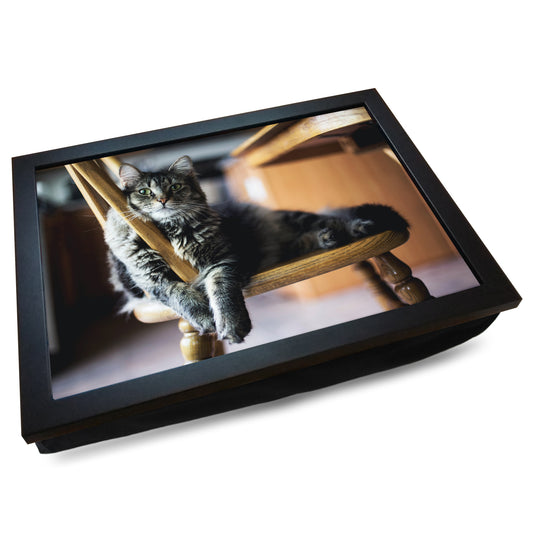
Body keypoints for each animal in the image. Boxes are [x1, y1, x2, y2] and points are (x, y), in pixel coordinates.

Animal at [105, 156, 408, 342]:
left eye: (176, 187)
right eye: (145, 192)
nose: (162, 200)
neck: (170, 231)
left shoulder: (222, 262)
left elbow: (223, 295)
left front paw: (230, 325)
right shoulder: (153, 278)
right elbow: (182, 297)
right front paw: (205, 320)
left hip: (297, 219)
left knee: (331, 219)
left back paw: (357, 228)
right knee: (307, 237)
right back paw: (328, 238)